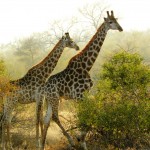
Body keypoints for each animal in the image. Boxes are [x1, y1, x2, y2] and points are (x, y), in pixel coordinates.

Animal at [37, 9, 123, 149]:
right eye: (110, 22)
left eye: (116, 20)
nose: (121, 28)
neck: (86, 66)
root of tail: (44, 88)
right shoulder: (79, 96)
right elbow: (84, 116)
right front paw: (80, 139)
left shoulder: (86, 94)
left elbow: (89, 113)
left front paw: (82, 139)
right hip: (55, 98)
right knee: (55, 117)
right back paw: (71, 141)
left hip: (50, 100)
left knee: (47, 119)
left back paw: (43, 145)